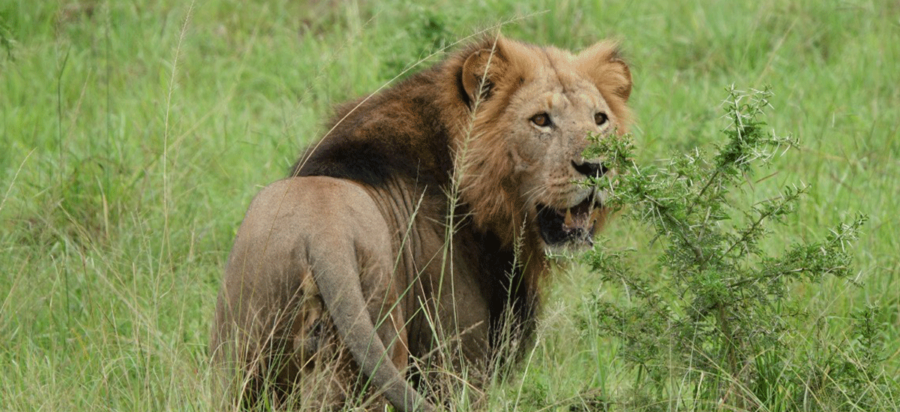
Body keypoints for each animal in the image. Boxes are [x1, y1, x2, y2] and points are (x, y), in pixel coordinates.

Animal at [210, 36, 632, 412]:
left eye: (600, 120)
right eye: (541, 121)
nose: (597, 167)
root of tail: (323, 236)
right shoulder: (456, 359)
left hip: (243, 362)